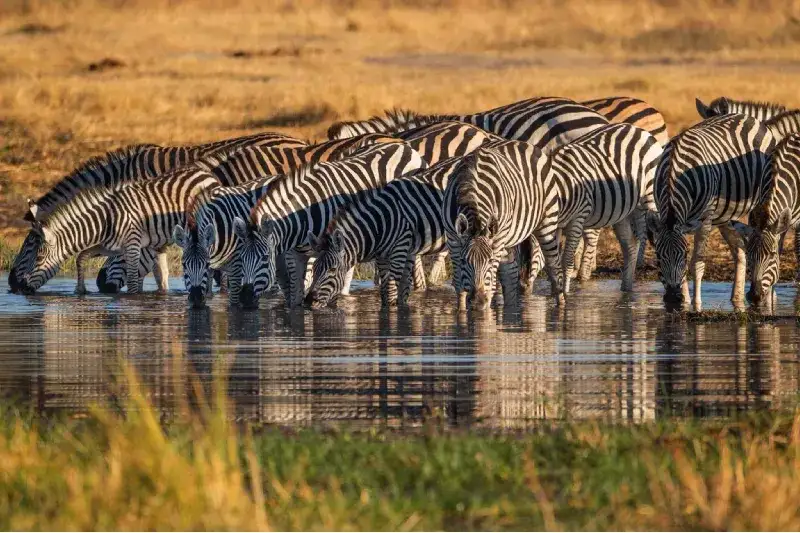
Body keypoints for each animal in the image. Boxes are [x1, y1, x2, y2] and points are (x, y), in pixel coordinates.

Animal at [21, 164, 220, 294]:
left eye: (38, 257)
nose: (22, 288)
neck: (103, 222)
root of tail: (205, 173)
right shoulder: (108, 247)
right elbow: (81, 257)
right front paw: (81, 290)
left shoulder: (132, 246)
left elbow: (131, 281)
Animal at [231, 142, 427, 309]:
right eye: (241, 258)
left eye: (265, 258)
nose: (245, 298)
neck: (302, 217)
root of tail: (404, 146)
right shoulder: (295, 255)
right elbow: (295, 299)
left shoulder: (322, 251)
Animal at [304, 155, 466, 309]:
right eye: (314, 270)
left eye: (332, 269)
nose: (308, 301)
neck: (380, 224)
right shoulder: (383, 257)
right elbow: (387, 293)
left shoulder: (399, 249)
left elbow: (391, 293)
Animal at [442, 139, 560, 310]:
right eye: (464, 261)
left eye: (490, 261)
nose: (477, 302)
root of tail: (521, 142)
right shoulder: (452, 238)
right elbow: (459, 286)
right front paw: (462, 312)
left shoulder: (496, 241)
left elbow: (491, 287)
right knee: (510, 276)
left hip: (546, 223)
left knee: (554, 266)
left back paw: (561, 305)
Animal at [647, 113, 775, 311]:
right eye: (658, 257)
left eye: (684, 255)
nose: (673, 298)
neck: (673, 173)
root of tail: (748, 117)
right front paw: (684, 301)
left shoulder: (705, 219)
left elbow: (697, 264)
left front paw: (696, 305)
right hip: (725, 215)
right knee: (740, 249)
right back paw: (736, 299)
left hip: (758, 200)